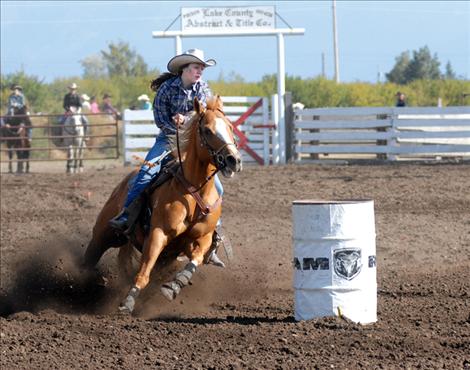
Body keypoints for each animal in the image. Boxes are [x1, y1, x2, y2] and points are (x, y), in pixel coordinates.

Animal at [81, 95, 242, 312]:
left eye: (230, 127)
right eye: (208, 130)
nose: (234, 160)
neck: (194, 192)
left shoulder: (200, 239)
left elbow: (195, 260)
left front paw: (174, 285)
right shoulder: (158, 234)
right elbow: (143, 273)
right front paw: (128, 302)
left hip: (154, 253)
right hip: (106, 233)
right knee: (92, 255)